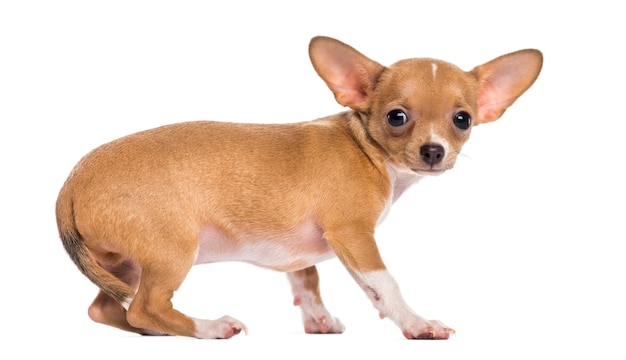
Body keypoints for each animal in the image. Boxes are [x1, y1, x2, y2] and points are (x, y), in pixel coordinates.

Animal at [54, 37, 540, 340]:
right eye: (396, 117)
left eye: (463, 120)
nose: (434, 151)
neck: (369, 151)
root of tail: (70, 183)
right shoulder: (354, 236)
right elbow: (384, 283)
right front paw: (416, 324)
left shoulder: (306, 247)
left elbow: (307, 278)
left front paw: (318, 319)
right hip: (172, 252)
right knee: (144, 305)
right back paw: (208, 327)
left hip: (124, 264)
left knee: (107, 309)